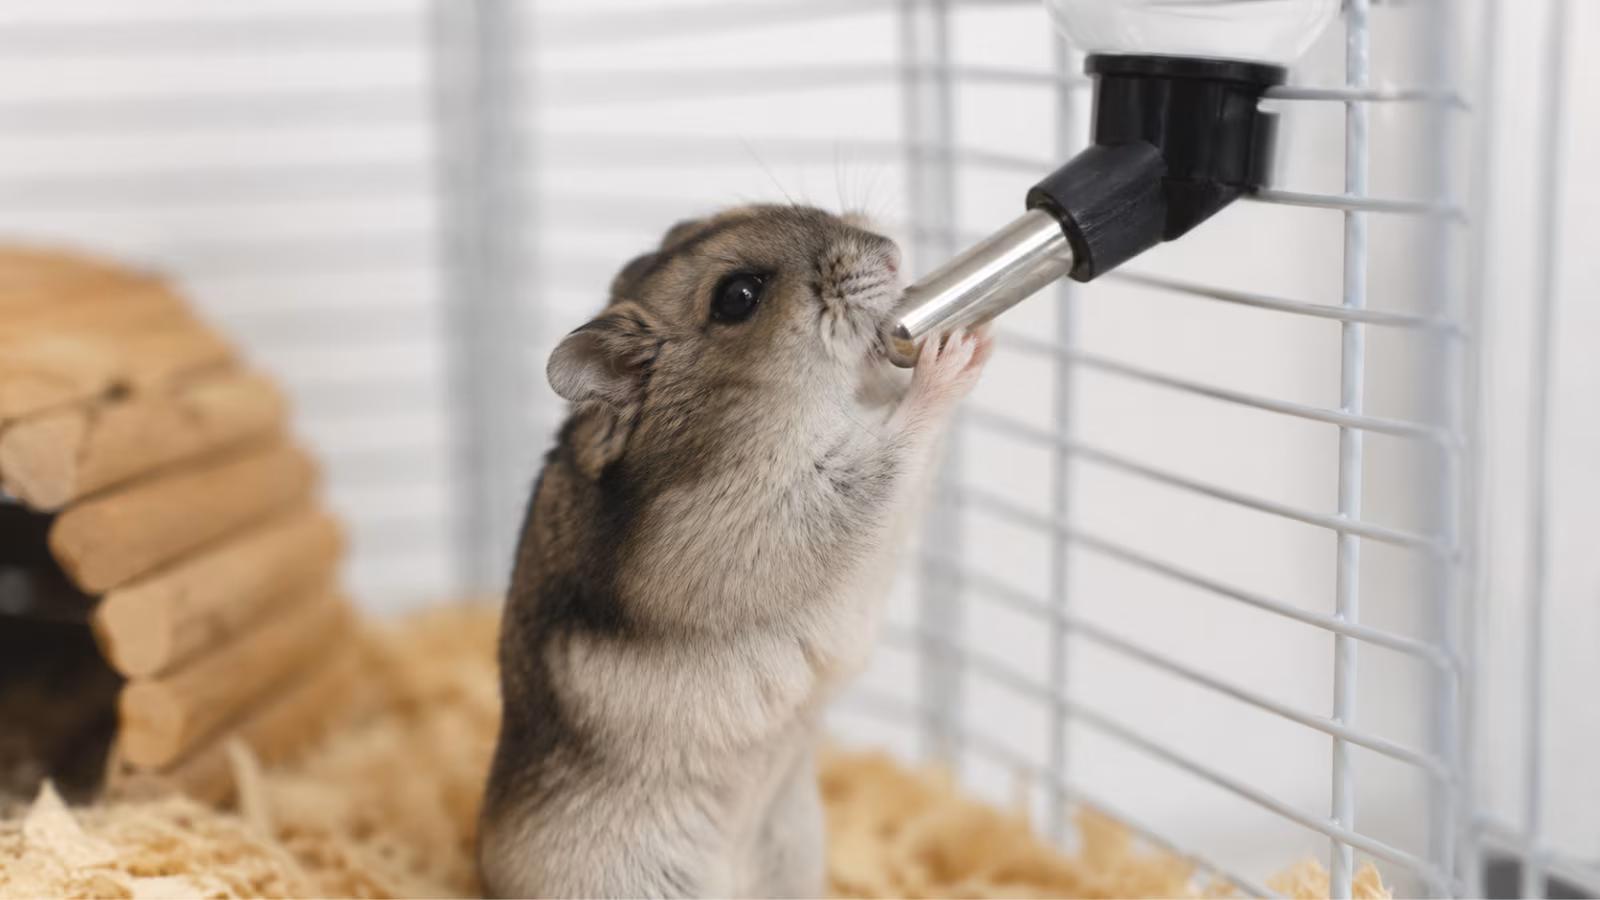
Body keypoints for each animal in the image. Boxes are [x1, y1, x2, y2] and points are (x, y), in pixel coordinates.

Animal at [478, 205, 992, 899]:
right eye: (737, 296)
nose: (888, 250)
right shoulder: (767, 515)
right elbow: (890, 453)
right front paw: (951, 353)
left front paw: (981, 334)